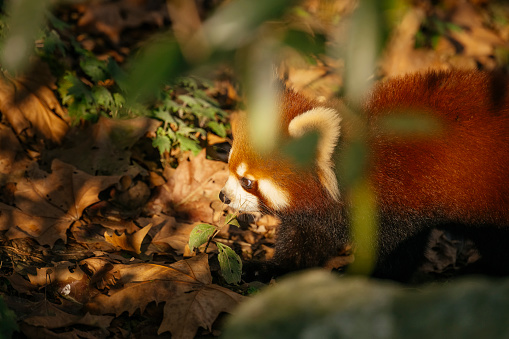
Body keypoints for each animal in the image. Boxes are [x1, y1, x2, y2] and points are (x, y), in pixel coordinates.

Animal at [220, 70, 508, 282]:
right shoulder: (323, 213)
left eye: (247, 182)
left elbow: (397, 254)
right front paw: (267, 268)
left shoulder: (401, 204)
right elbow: (305, 242)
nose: (223, 196)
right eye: (229, 164)